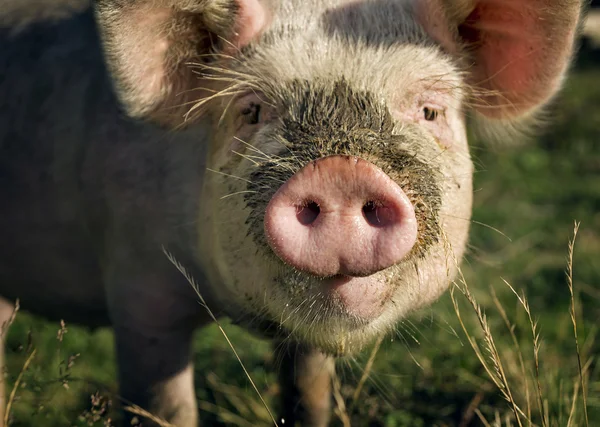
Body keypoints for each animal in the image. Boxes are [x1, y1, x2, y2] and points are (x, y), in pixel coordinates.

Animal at [0, 0, 580, 427]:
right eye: (252, 110)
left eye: (429, 110)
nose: (341, 171)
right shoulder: (140, 297)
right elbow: (166, 407)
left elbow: (308, 394)